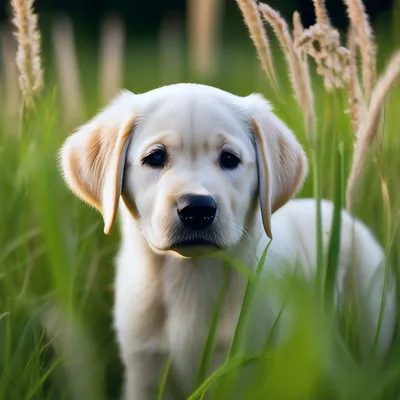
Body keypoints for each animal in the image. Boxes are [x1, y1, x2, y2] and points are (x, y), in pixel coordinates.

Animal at [59, 83, 394, 398]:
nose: (197, 208)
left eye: (229, 159)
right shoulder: (145, 369)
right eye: (155, 157)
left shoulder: (244, 367)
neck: (189, 278)